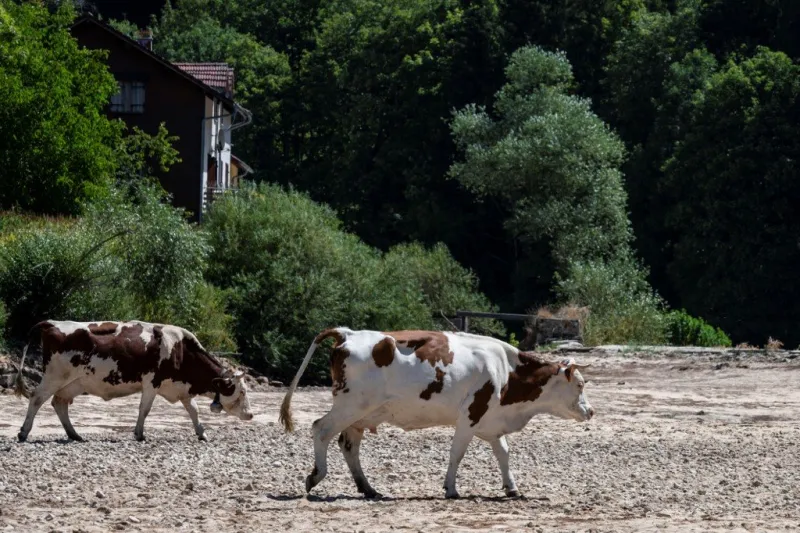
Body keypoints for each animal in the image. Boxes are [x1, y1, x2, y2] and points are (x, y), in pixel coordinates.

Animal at [14, 320, 253, 443]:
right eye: (241, 392)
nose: (250, 415)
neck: (180, 349)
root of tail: (51, 323)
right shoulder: (151, 383)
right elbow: (144, 409)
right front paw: (139, 434)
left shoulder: (180, 388)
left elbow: (193, 410)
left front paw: (202, 433)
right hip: (54, 376)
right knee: (37, 399)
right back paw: (24, 432)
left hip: (74, 383)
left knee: (59, 403)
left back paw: (74, 434)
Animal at [280, 328, 594, 499]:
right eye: (579, 385)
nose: (590, 411)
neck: (505, 370)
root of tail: (348, 333)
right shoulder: (470, 415)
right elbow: (457, 453)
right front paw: (451, 488)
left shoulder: (490, 421)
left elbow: (503, 454)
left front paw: (512, 488)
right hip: (350, 405)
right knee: (321, 429)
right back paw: (316, 476)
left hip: (360, 413)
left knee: (348, 445)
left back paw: (367, 488)